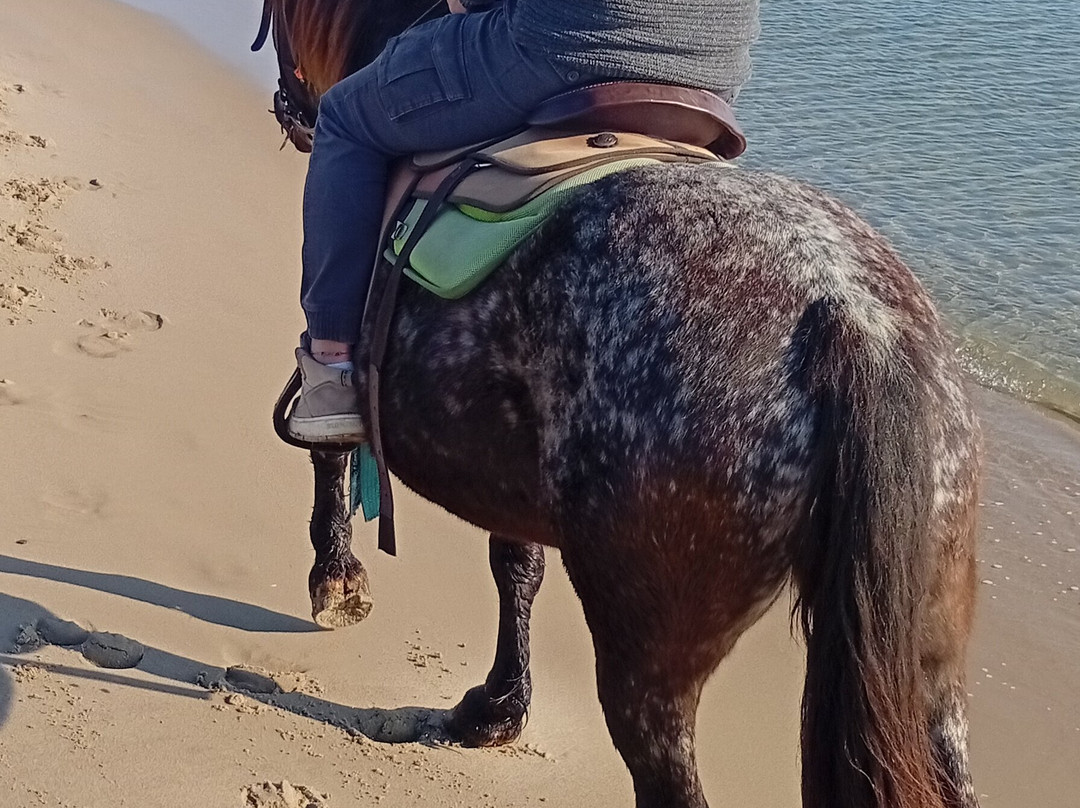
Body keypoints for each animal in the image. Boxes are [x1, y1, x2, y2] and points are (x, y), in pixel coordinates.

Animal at [254, 2, 983, 806]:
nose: (291, 108)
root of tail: (848, 312)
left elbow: (332, 450)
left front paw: (336, 579)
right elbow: (517, 566)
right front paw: (499, 707)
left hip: (651, 648)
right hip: (929, 666)